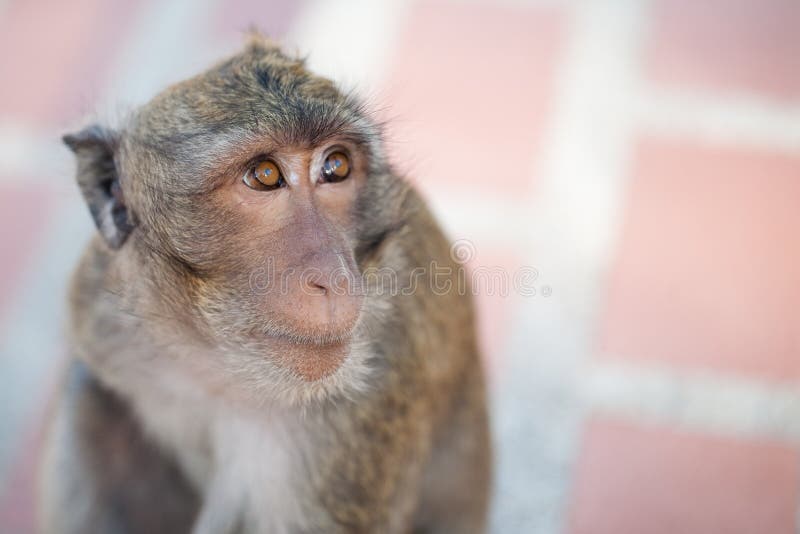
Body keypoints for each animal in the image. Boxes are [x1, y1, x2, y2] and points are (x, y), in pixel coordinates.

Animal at [38, 36, 491, 534]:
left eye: (335, 167)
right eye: (265, 175)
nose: (334, 276)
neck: (220, 364)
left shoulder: (358, 411)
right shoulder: (98, 310)